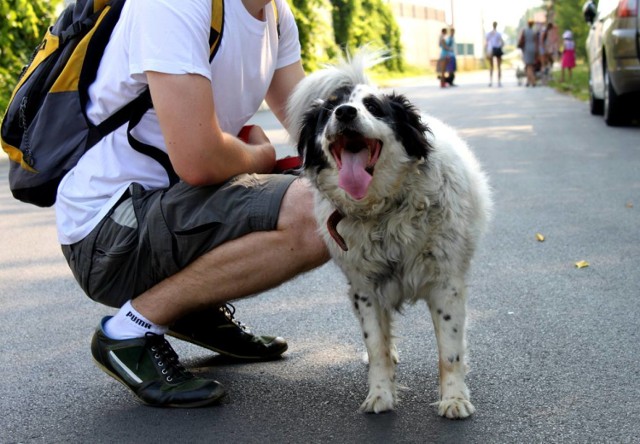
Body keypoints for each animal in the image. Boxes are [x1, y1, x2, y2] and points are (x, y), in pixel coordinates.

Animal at [288, 53, 492, 420]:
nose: (345, 113)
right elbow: (377, 346)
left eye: (373, 106)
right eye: (329, 110)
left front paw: (454, 398)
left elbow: (450, 350)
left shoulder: (447, 285)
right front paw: (381, 393)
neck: (383, 211)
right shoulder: (365, 289)